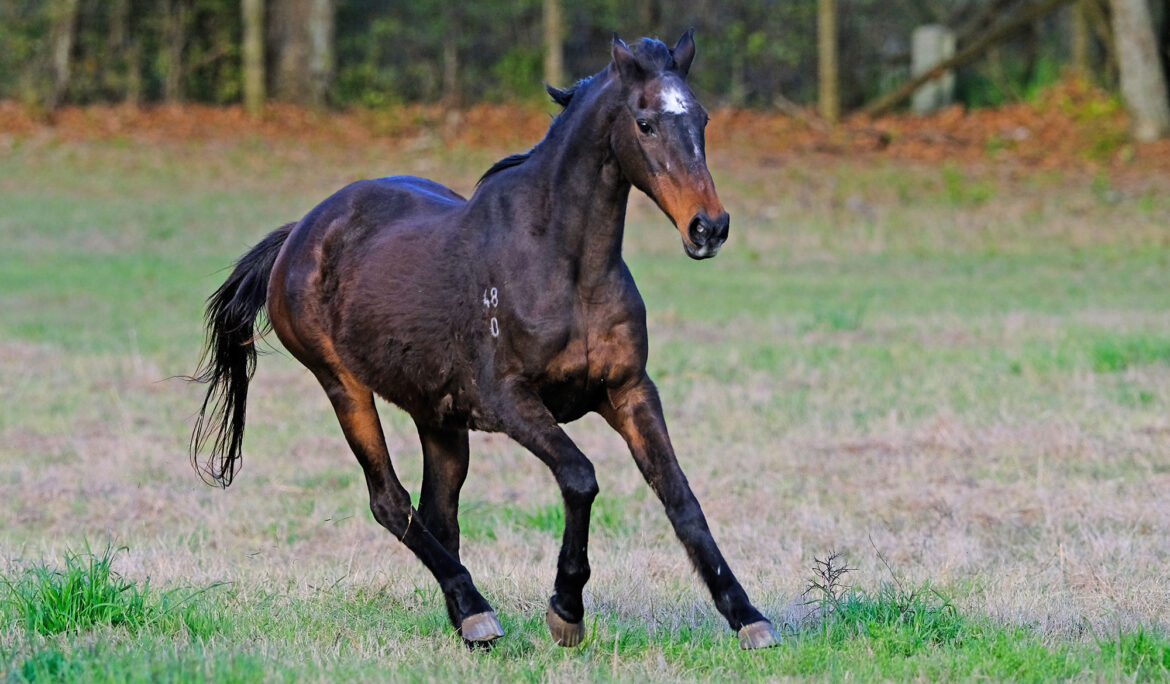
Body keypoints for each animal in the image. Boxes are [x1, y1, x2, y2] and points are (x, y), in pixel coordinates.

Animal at [191, 30, 779, 650]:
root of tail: (298, 234)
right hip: (344, 387)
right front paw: (566, 610)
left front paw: (748, 617)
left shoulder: (629, 391)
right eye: (644, 123)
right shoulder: (509, 402)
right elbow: (581, 478)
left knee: (437, 511)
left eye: (703, 119)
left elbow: (681, 498)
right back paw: (477, 610)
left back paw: (465, 617)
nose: (708, 228)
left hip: (438, 416)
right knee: (390, 501)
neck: (562, 267)